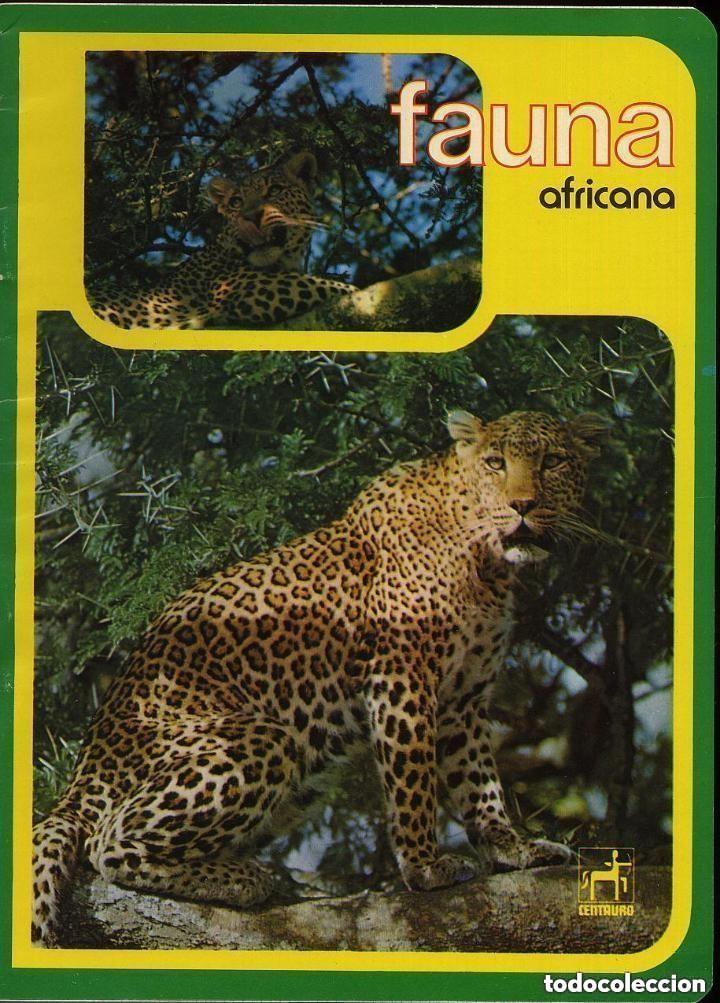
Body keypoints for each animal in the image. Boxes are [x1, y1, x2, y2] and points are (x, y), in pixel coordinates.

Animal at [32, 408, 607, 946]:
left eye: (553, 462)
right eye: (495, 463)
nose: (523, 506)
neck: (486, 562)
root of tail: (82, 776)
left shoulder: (463, 698)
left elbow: (479, 783)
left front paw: (513, 848)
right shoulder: (401, 675)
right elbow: (413, 782)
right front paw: (426, 868)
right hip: (257, 739)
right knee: (108, 843)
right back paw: (242, 880)